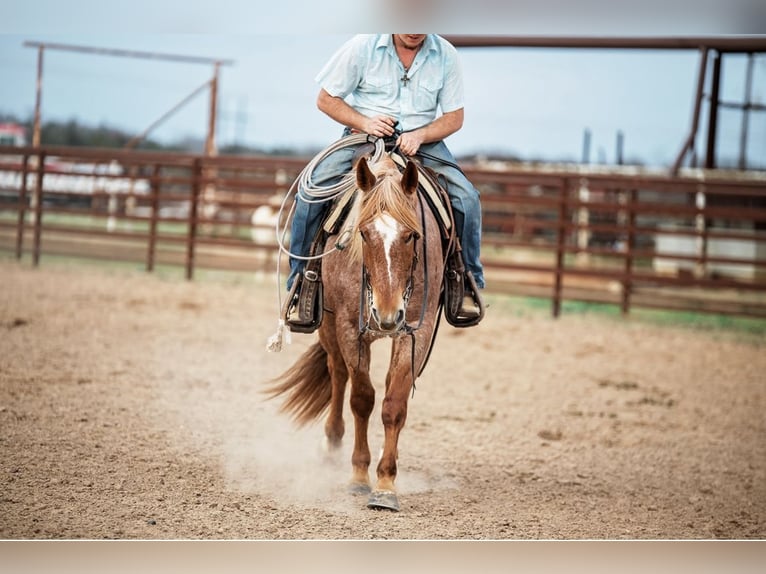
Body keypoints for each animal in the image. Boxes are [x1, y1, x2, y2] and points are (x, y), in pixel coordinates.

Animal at [266, 153, 445, 511]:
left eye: (411, 235)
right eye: (364, 233)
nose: (387, 314)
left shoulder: (416, 331)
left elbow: (393, 404)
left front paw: (386, 484)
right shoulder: (350, 328)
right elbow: (362, 399)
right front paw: (360, 477)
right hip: (328, 326)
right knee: (337, 373)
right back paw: (331, 444)